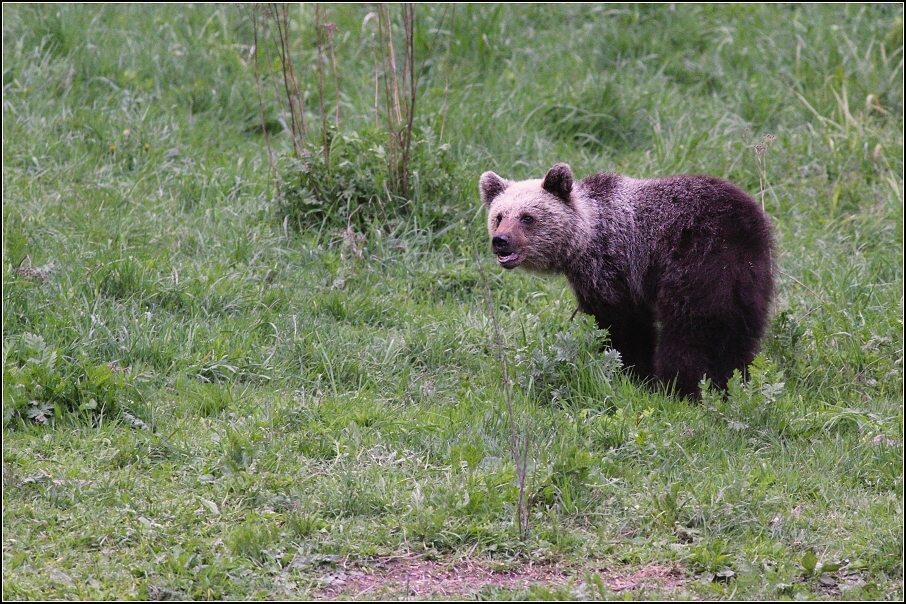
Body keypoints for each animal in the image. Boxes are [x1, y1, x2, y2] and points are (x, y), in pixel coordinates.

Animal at [480, 164, 768, 402]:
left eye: (527, 217)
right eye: (499, 216)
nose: (501, 240)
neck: (586, 237)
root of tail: (737, 228)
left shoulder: (613, 266)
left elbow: (623, 326)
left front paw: (632, 373)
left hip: (695, 265)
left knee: (686, 334)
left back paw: (679, 388)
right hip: (748, 279)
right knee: (738, 337)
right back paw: (732, 384)